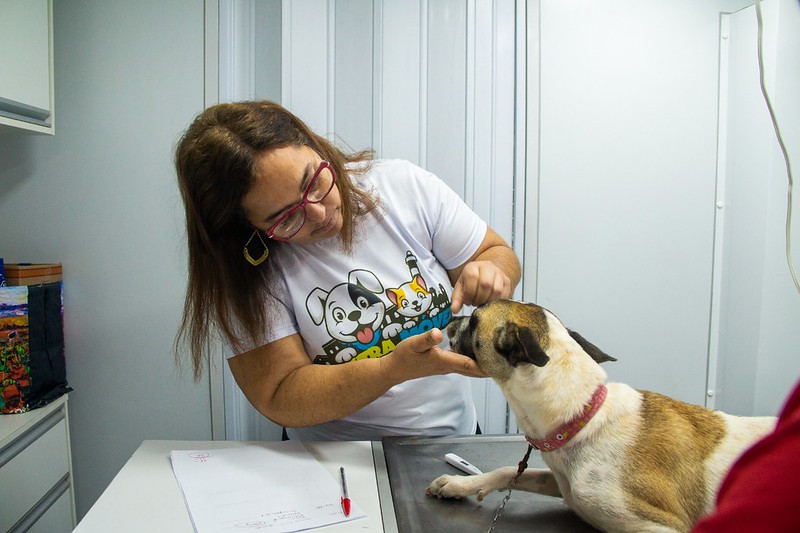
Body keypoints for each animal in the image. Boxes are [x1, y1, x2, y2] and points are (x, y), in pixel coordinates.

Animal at [428, 300, 780, 532]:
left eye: (475, 319)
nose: (449, 319)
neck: (584, 418)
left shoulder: (665, 526)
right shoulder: (564, 483)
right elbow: (506, 471)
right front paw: (460, 484)